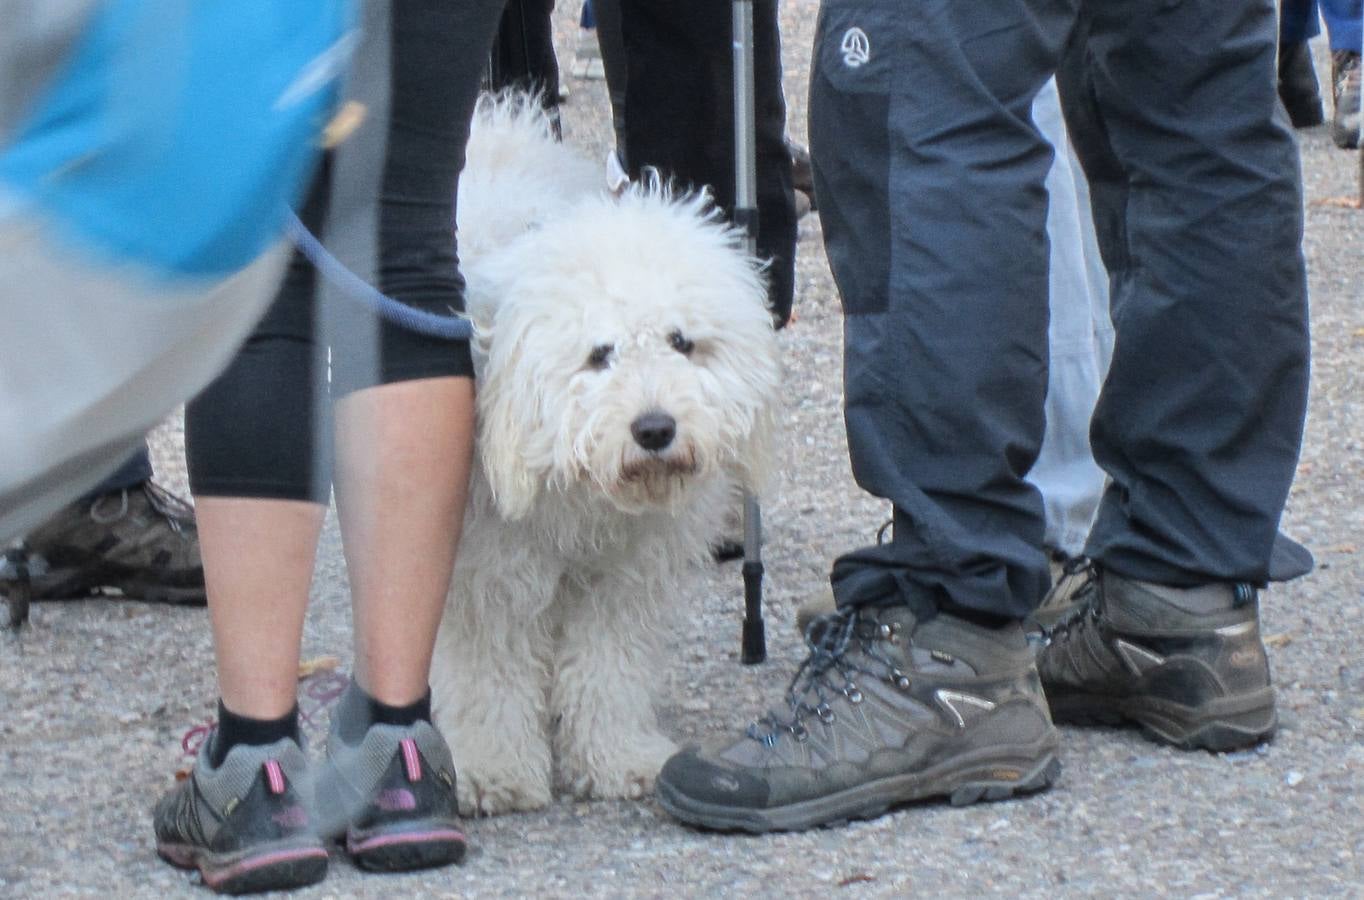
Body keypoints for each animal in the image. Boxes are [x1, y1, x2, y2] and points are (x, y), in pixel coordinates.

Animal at [431, 98, 785, 818]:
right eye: (599, 355)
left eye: (682, 342)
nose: (654, 429)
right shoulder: (485, 573)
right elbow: (488, 671)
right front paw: (494, 768)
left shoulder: (624, 576)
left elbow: (607, 666)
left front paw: (616, 757)